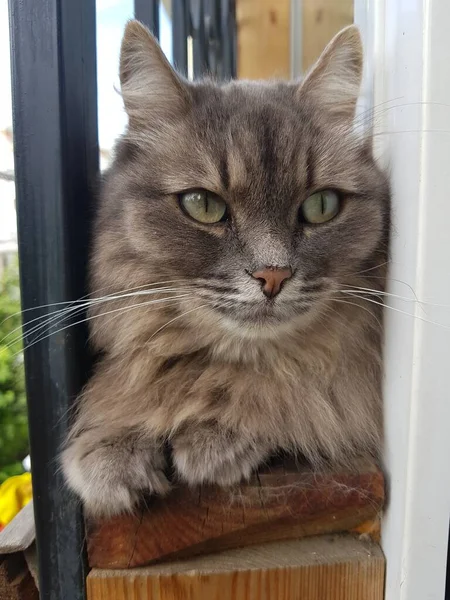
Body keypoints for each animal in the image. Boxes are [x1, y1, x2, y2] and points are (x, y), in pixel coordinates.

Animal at [60, 18, 390, 516]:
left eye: (320, 206)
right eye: (203, 205)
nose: (273, 276)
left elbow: (292, 397)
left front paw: (217, 432)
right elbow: (132, 385)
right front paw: (114, 444)